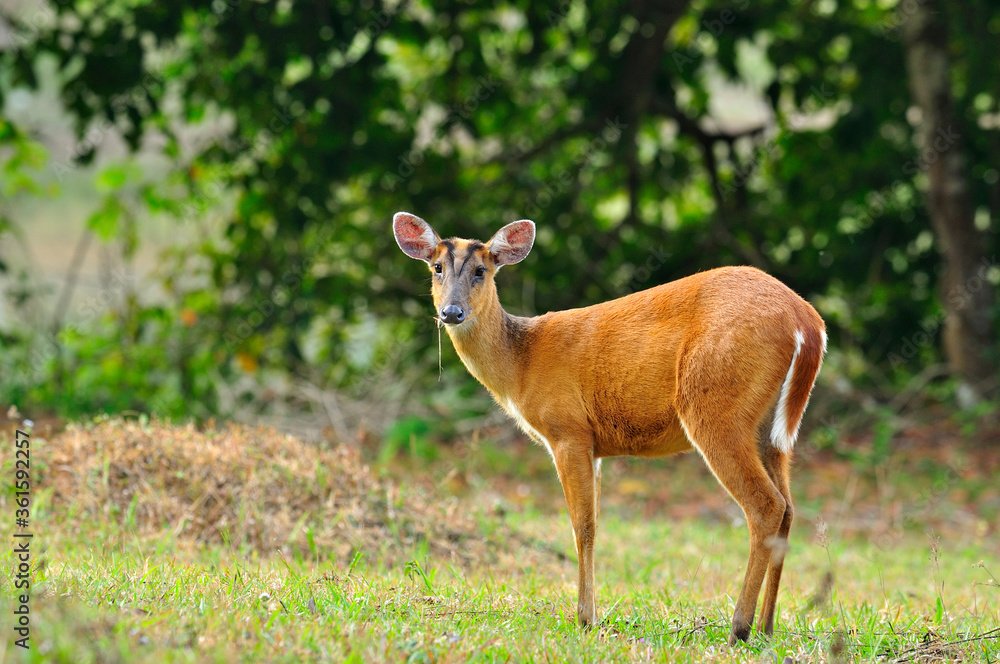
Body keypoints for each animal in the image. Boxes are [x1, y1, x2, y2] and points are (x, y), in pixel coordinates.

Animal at [390, 211, 828, 644]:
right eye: (436, 268)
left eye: (481, 270)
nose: (451, 312)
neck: (521, 363)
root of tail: (807, 322)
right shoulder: (595, 445)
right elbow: (594, 524)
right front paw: (590, 615)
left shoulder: (568, 430)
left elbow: (582, 527)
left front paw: (585, 619)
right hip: (770, 429)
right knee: (788, 508)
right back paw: (768, 626)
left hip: (715, 405)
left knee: (766, 505)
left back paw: (739, 627)